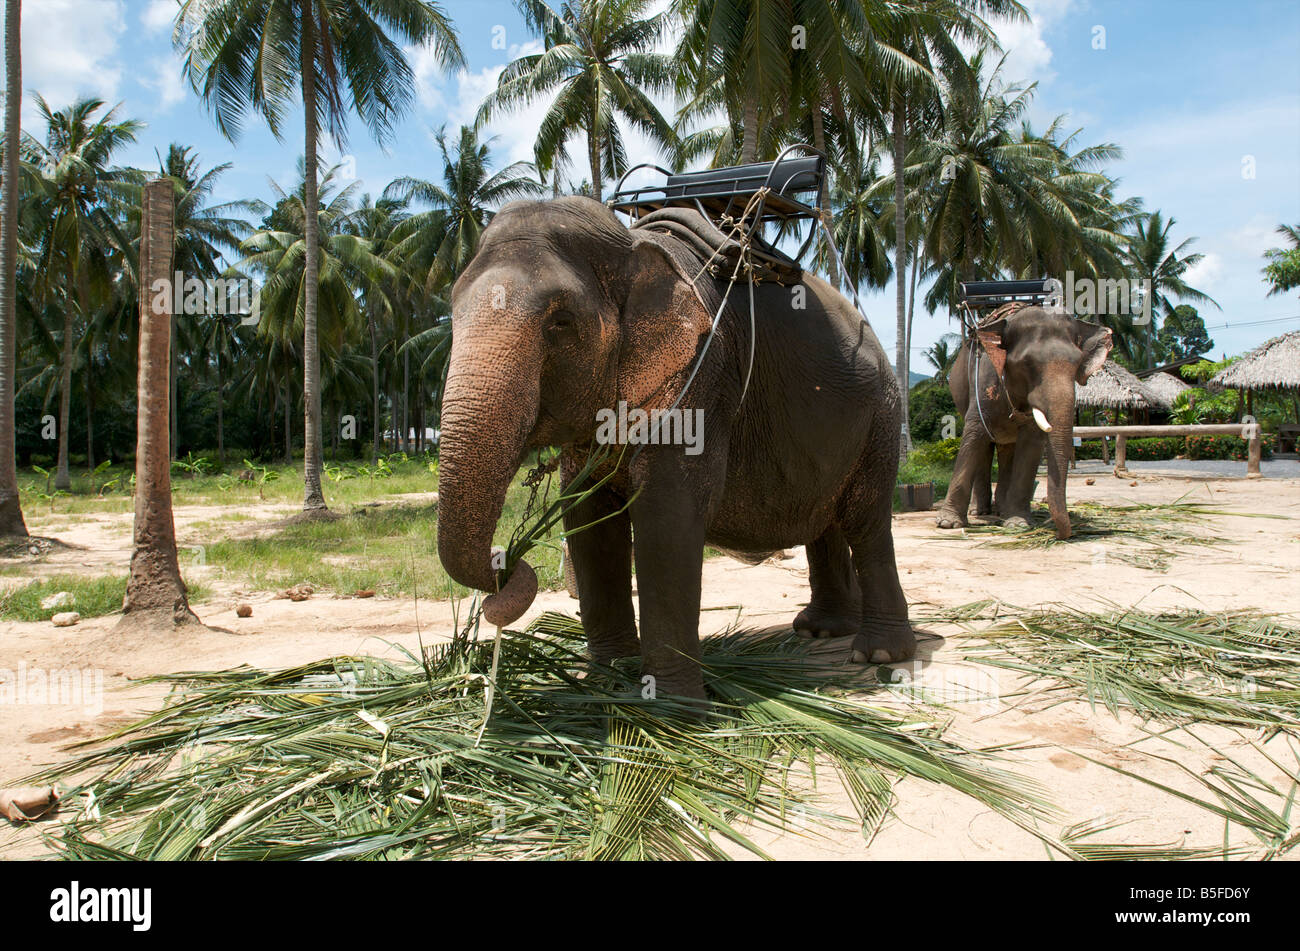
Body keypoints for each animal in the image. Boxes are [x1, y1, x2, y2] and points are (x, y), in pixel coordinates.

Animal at [436, 197, 915, 701]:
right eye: (452, 314)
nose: (507, 565)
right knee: (826, 523)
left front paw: (671, 708)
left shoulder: (702, 373)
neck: (631, 246)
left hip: (882, 416)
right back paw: (820, 631)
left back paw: (879, 654)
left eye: (561, 322)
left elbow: (668, 511)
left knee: (865, 520)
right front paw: (607, 677)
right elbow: (587, 518)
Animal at [935, 307, 1107, 537]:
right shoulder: (984, 382)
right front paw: (947, 523)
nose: (1064, 534)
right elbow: (974, 435)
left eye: (1078, 364)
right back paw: (979, 512)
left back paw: (1001, 510)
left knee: (1007, 450)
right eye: (1027, 363)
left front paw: (1017, 523)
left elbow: (1031, 444)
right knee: (986, 447)